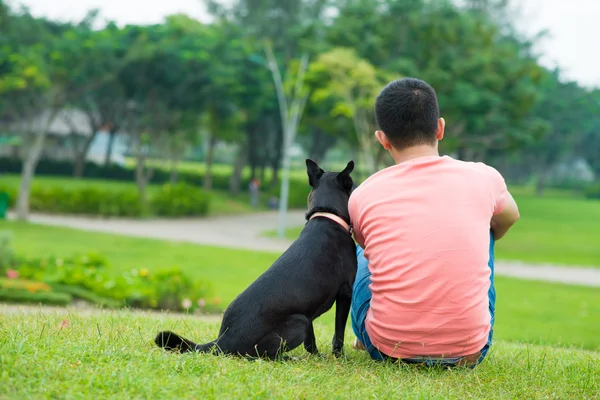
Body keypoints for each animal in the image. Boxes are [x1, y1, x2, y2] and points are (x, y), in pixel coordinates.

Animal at [157, 159, 358, 360]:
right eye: (352, 183)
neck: (326, 215)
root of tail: (221, 341)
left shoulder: (311, 311)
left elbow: (311, 342)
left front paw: (316, 356)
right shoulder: (345, 292)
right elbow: (338, 333)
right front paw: (339, 356)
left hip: (303, 320)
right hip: (299, 322)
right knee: (262, 355)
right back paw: (287, 358)